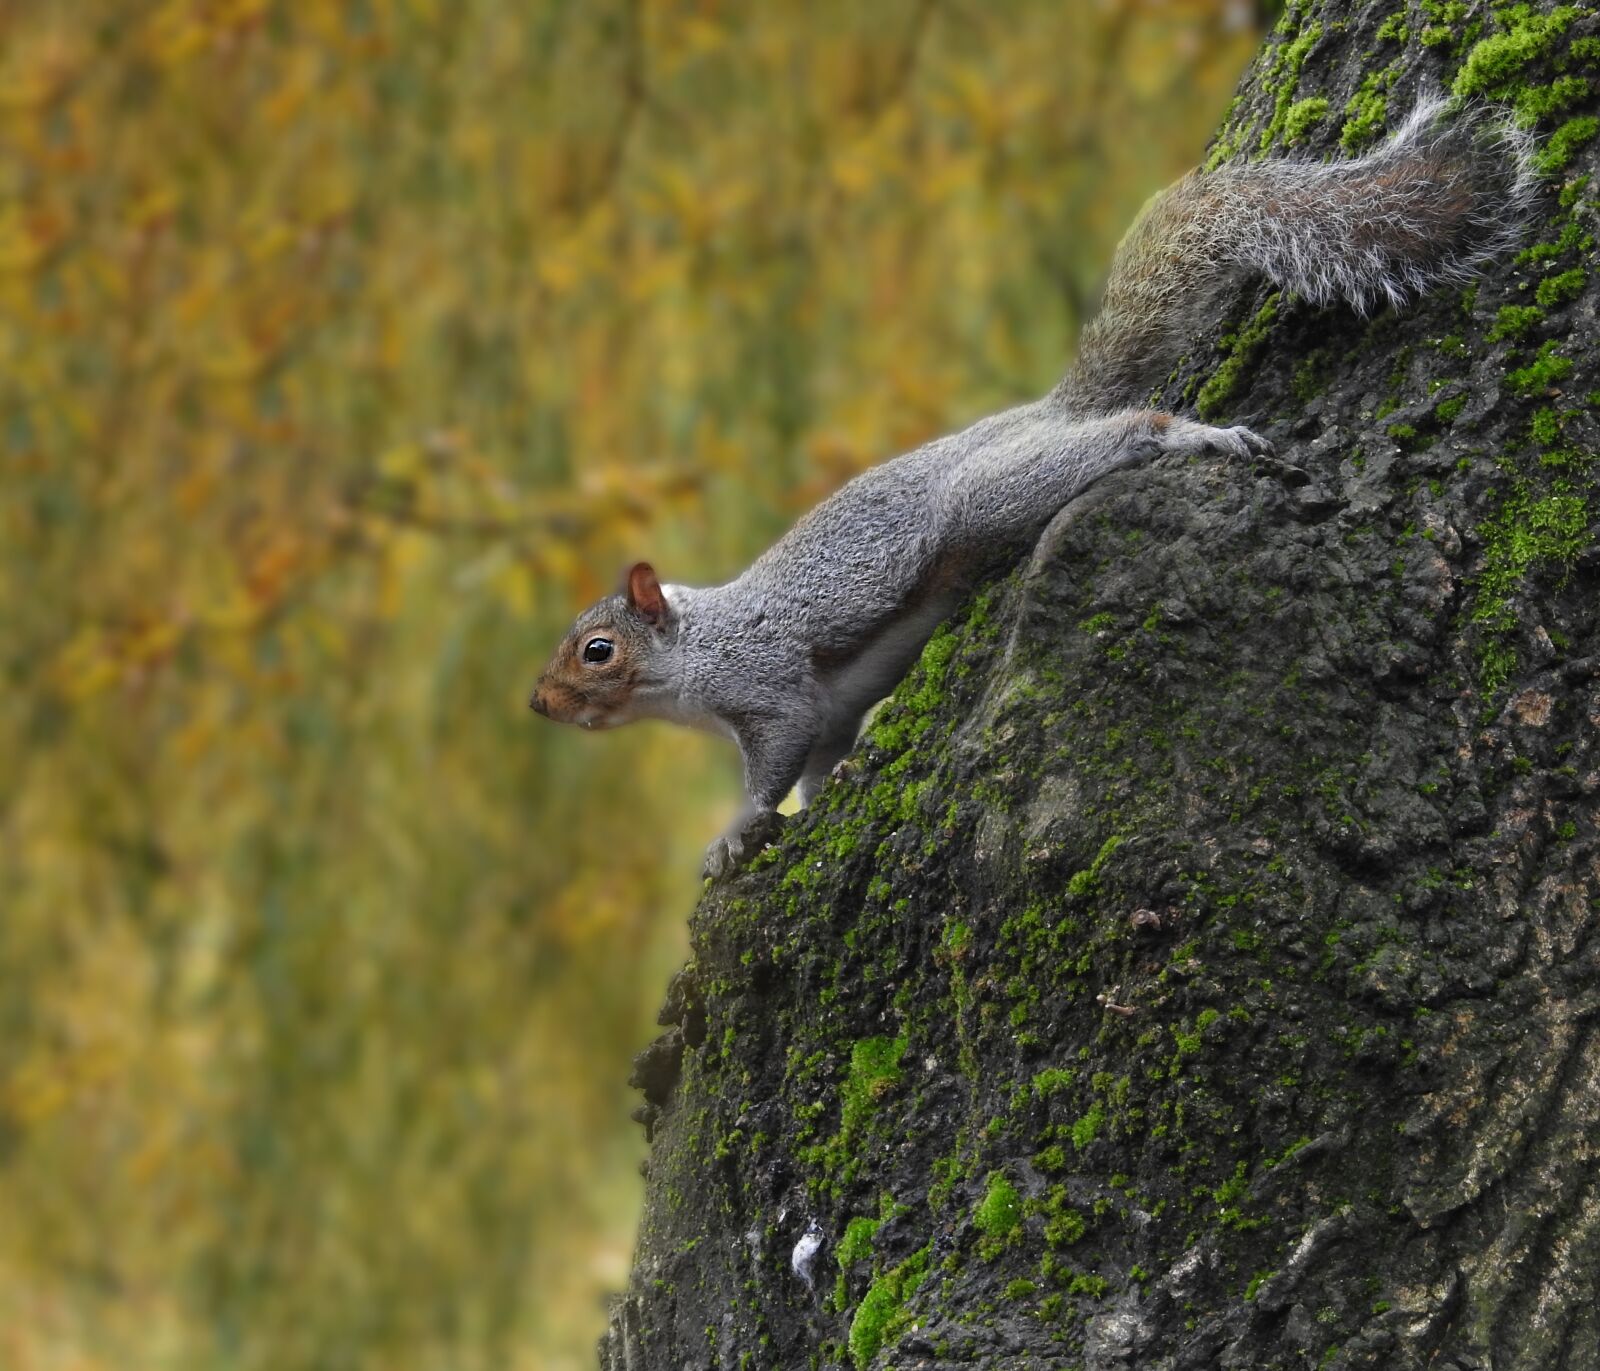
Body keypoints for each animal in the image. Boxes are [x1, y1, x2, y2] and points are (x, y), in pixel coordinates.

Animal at [530, 97, 1535, 878]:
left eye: (597, 651)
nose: (539, 704)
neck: (694, 655)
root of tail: (1047, 411)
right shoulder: (826, 715)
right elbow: (820, 762)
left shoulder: (767, 680)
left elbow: (776, 758)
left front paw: (734, 834)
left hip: (990, 500)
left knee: (1131, 430)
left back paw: (1192, 434)